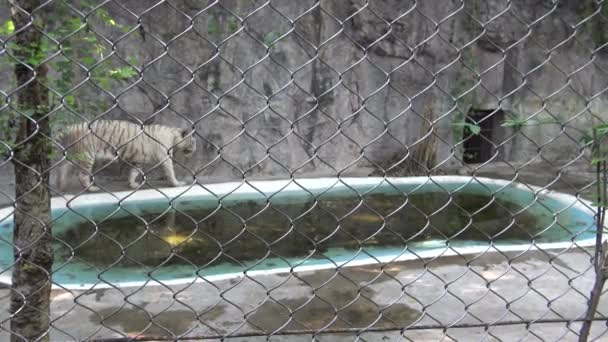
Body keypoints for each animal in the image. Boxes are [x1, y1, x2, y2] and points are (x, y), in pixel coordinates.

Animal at [56, 119, 196, 192]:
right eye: (191, 145)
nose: (193, 153)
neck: (173, 136)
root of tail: (72, 127)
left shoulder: (138, 161)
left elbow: (134, 172)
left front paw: (132, 184)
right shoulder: (165, 157)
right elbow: (170, 171)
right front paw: (177, 183)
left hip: (74, 154)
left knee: (63, 167)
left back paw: (61, 185)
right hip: (87, 155)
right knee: (82, 175)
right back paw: (92, 188)